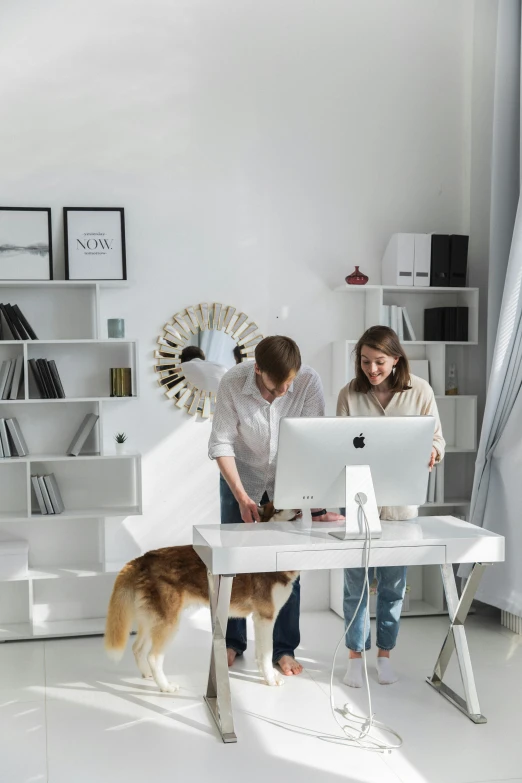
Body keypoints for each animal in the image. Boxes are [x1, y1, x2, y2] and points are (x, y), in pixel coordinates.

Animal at [104, 502, 298, 692]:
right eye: (278, 509)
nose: (298, 509)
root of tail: (143, 558)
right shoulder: (265, 617)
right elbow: (266, 654)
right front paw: (270, 679)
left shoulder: (259, 619)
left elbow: (260, 653)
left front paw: (268, 674)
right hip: (169, 623)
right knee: (153, 656)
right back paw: (166, 687)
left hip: (151, 619)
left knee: (137, 648)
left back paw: (147, 674)